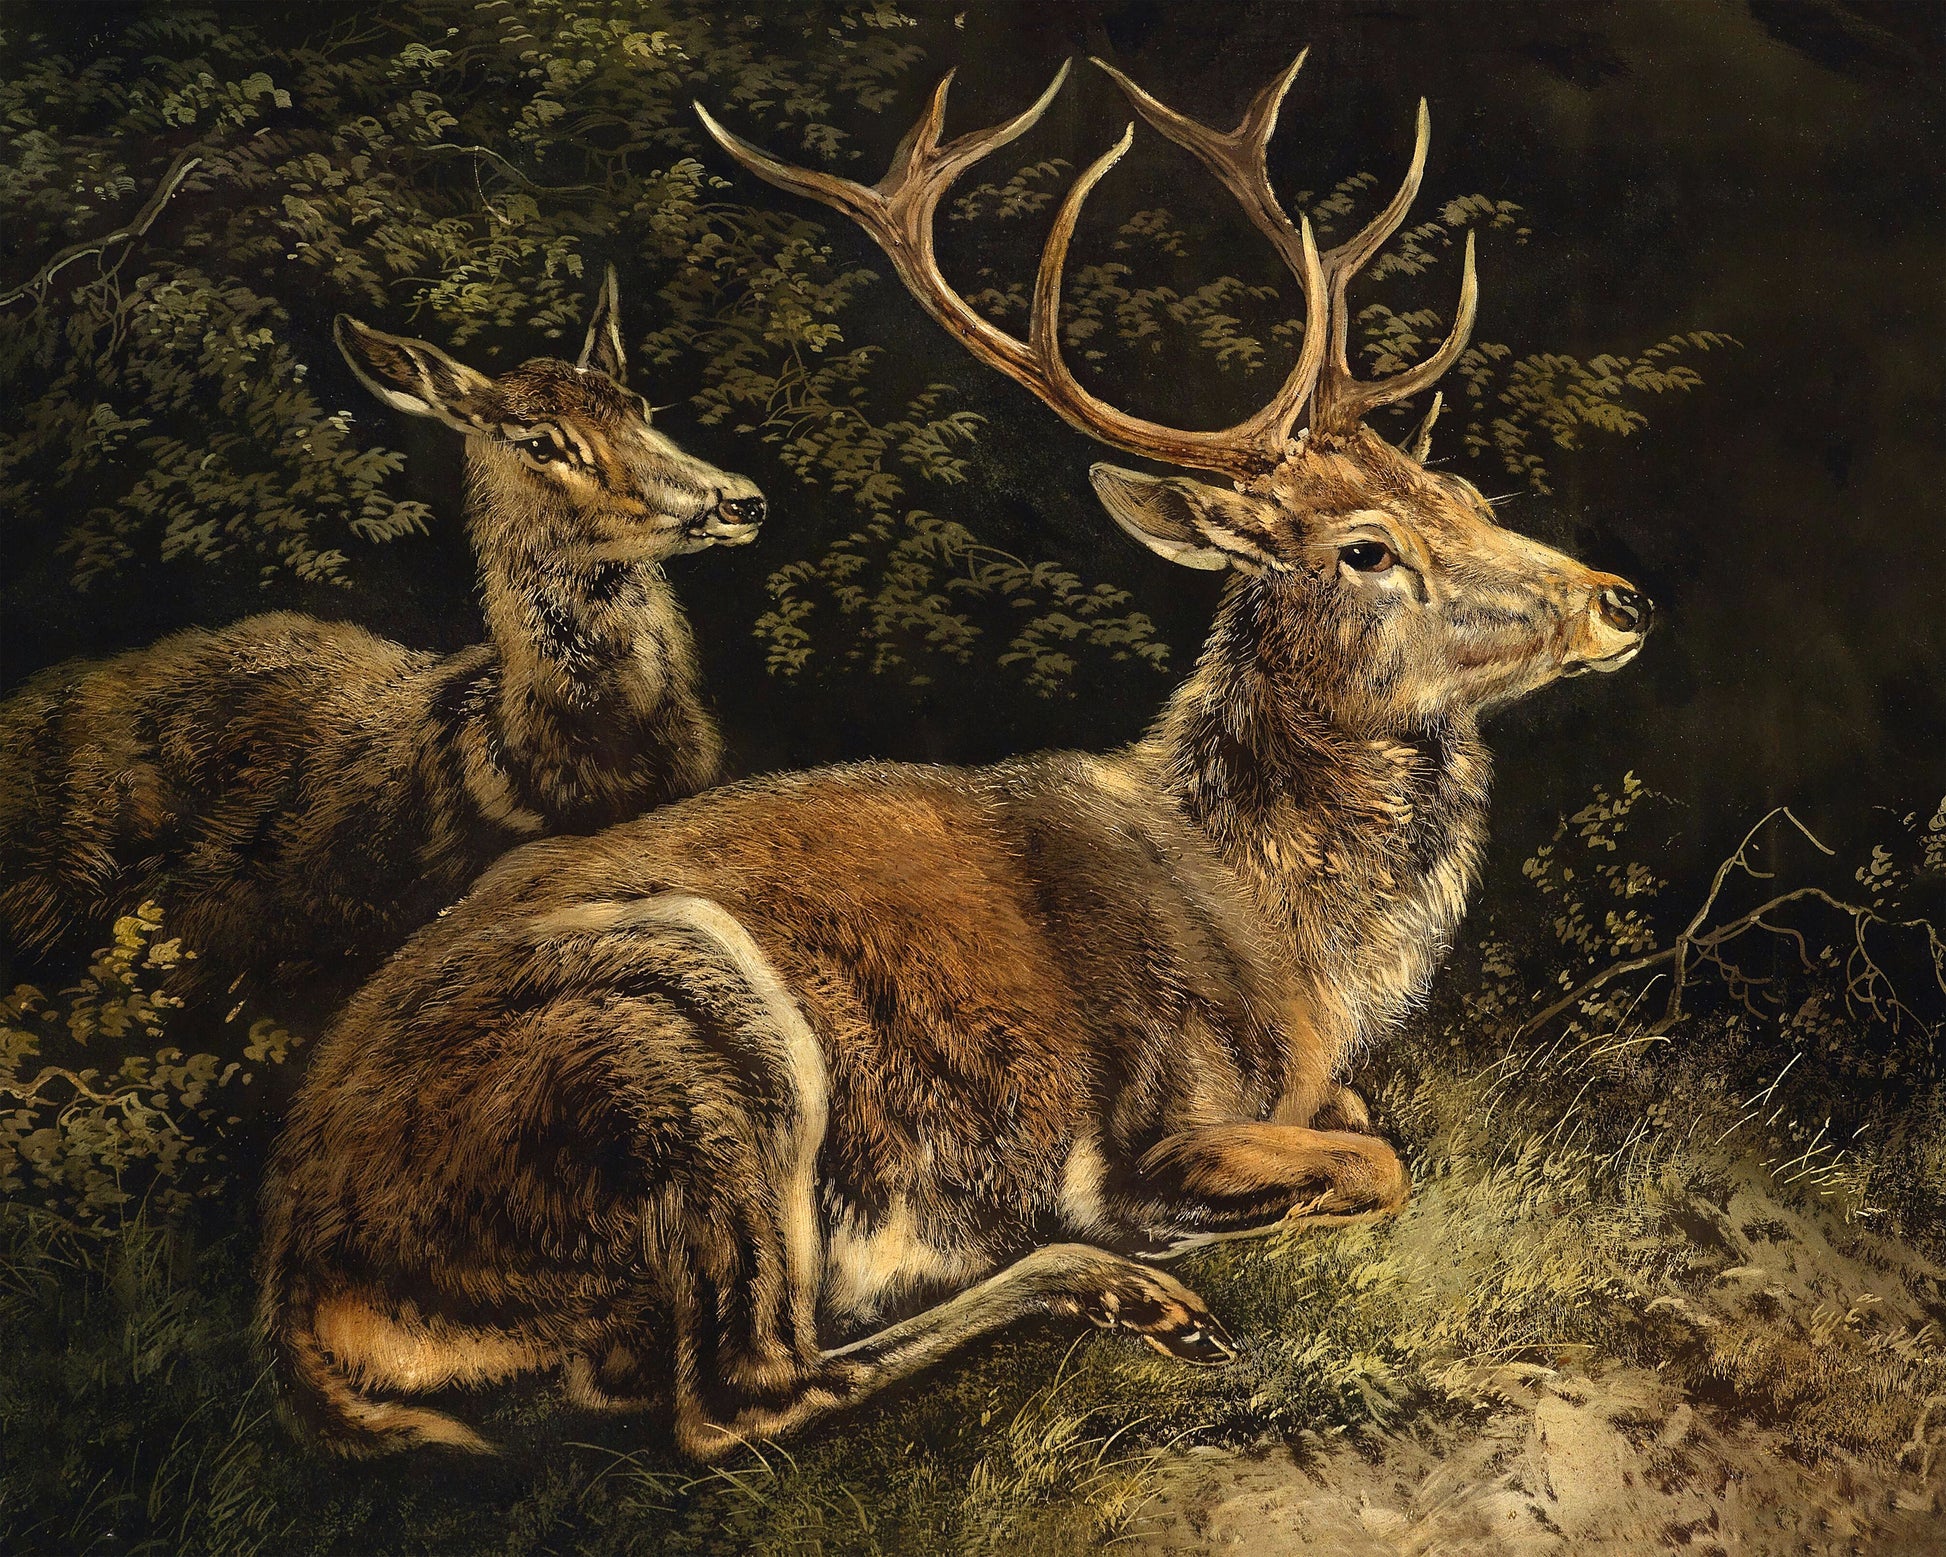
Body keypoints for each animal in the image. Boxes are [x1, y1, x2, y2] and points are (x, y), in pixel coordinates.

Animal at [257, 54, 1654, 1459]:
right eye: (1366, 548)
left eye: (1466, 494)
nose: (1617, 599)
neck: (1295, 948)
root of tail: (301, 1284)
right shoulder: (1154, 1126)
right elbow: (1373, 1165)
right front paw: (1177, 1248)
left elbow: (1370, 1129)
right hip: (680, 1023)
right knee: (738, 1394)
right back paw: (1120, 1293)